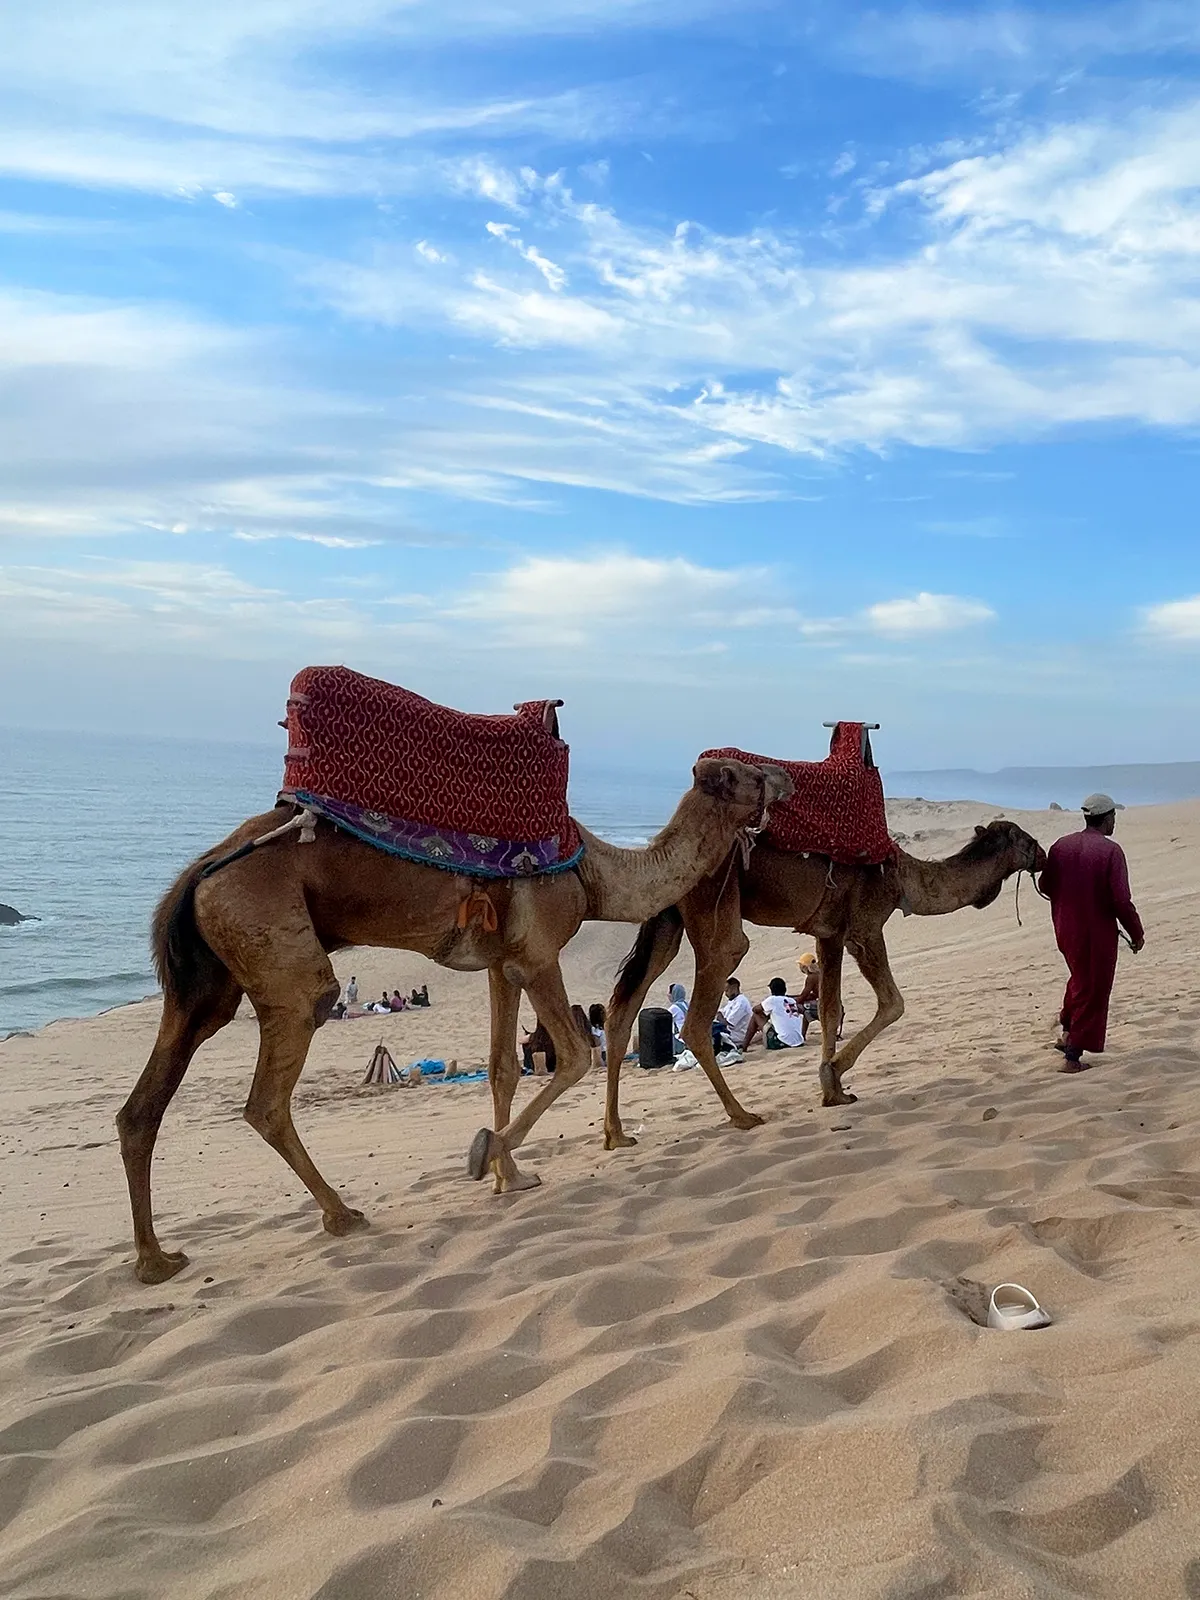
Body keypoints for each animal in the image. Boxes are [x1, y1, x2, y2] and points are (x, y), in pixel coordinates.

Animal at [117, 757, 790, 1283]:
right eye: (742, 774)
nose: (783, 778)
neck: (594, 873)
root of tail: (194, 878)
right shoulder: (538, 952)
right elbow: (574, 1054)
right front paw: (487, 1153)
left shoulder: (501, 962)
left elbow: (501, 1067)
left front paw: (509, 1176)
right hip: (276, 952)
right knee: (270, 1091)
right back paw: (342, 1215)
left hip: (206, 986)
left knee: (143, 1106)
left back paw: (156, 1260)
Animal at [600, 819, 1046, 1148]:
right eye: (1026, 839)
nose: (1044, 854)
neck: (903, 878)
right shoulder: (863, 928)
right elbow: (890, 1003)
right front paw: (833, 1076)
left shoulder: (827, 932)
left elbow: (831, 1008)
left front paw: (833, 1088)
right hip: (712, 911)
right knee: (698, 1014)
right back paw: (743, 1116)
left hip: (667, 917)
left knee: (620, 1013)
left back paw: (616, 1135)